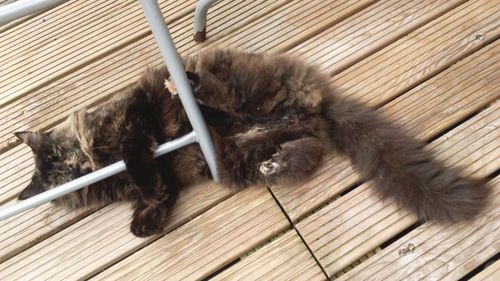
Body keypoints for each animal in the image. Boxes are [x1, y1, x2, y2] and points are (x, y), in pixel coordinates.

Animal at [13, 48, 490, 236]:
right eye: (54, 176)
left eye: (57, 158)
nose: (70, 169)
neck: (99, 156)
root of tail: (315, 105)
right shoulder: (168, 174)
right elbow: (159, 194)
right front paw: (144, 222)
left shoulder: (132, 120)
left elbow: (138, 158)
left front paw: (143, 204)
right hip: (231, 162)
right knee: (306, 150)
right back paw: (276, 164)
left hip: (238, 96)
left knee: (216, 95)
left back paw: (185, 83)